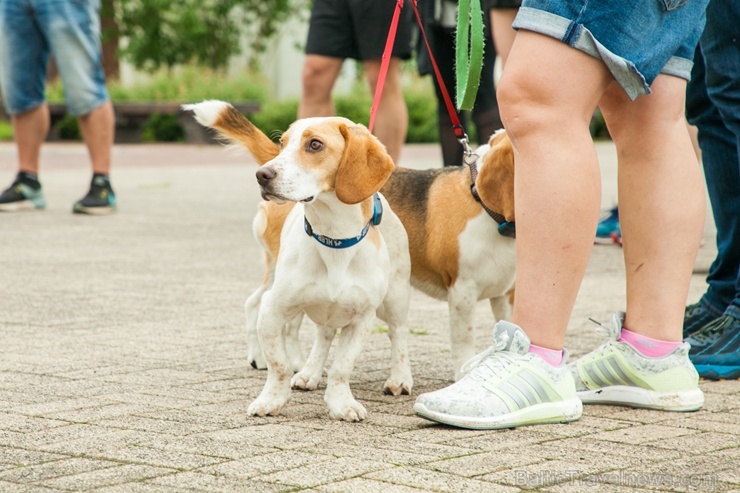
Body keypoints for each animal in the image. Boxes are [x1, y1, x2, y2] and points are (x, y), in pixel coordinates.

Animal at [183, 99, 414, 418]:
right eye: (282, 143)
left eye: (315, 145)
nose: (262, 174)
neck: (333, 240)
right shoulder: (274, 309)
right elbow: (279, 366)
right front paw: (271, 400)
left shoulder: (362, 319)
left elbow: (342, 367)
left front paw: (341, 402)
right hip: (281, 285)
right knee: (285, 319)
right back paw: (302, 370)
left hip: (395, 296)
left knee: (398, 334)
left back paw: (399, 378)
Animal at [185, 102, 516, 382]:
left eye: (315, 145)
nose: (263, 176)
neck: (485, 207)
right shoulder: (462, 293)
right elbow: (464, 342)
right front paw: (463, 376)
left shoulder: (506, 295)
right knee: (261, 305)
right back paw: (269, 359)